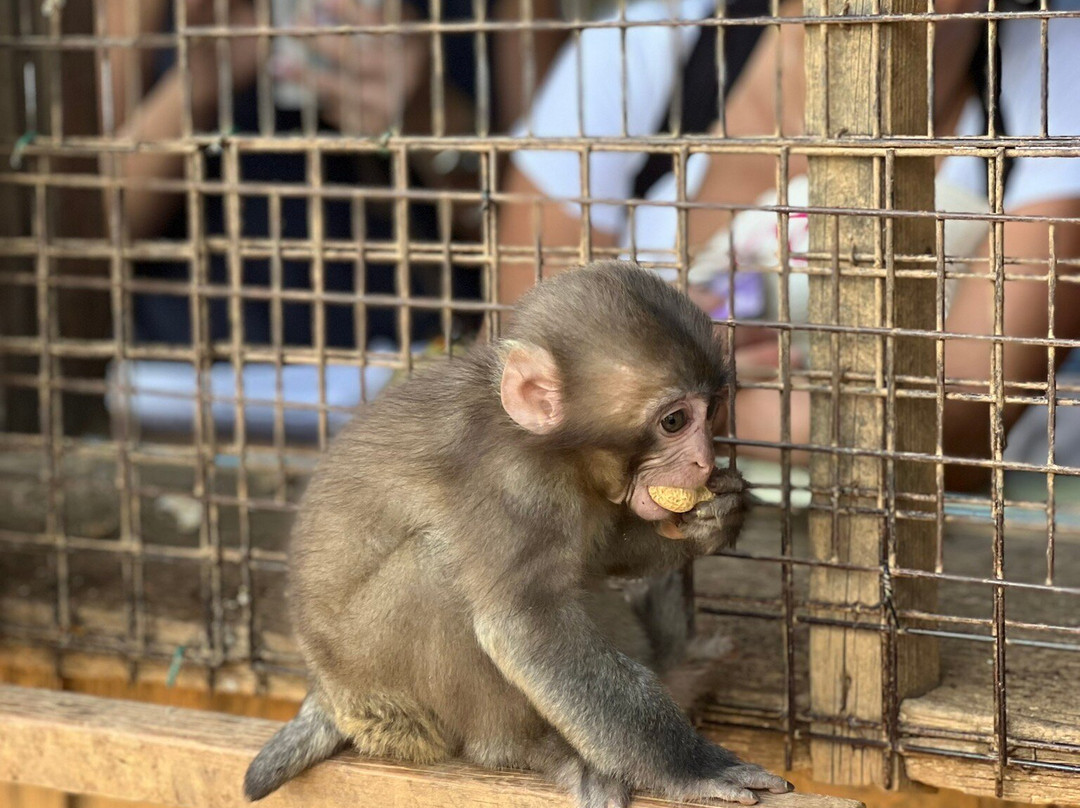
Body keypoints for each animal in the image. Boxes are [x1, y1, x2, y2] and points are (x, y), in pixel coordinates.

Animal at [240, 262, 790, 803]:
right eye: (674, 421)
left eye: (711, 410)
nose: (704, 460)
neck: (553, 451)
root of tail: (328, 695)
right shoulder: (515, 488)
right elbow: (525, 627)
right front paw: (690, 768)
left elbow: (595, 557)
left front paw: (714, 519)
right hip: (386, 700)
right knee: (434, 571)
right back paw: (527, 748)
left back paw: (677, 664)